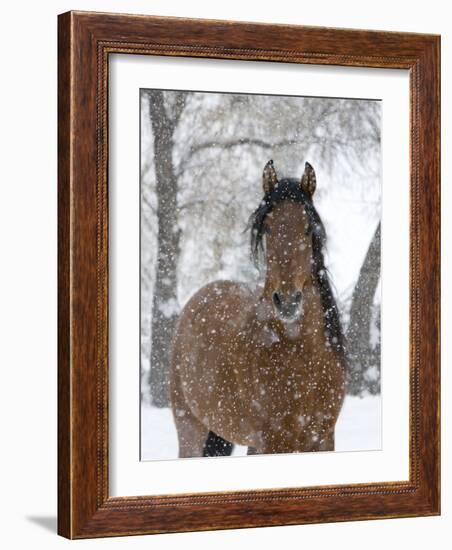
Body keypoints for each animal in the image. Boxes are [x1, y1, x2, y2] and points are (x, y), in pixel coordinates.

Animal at [170, 162, 346, 460]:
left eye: (307, 229)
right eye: (268, 229)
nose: (287, 301)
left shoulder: (323, 440)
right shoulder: (272, 442)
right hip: (191, 431)